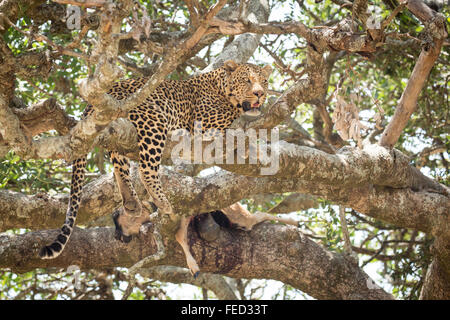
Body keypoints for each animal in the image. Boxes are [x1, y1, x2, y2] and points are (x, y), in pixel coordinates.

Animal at [39, 59, 270, 276]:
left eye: (264, 81)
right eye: (247, 80)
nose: (260, 93)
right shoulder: (207, 122)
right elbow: (239, 127)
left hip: (120, 134)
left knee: (119, 163)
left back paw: (131, 202)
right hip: (152, 119)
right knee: (145, 169)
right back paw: (162, 201)